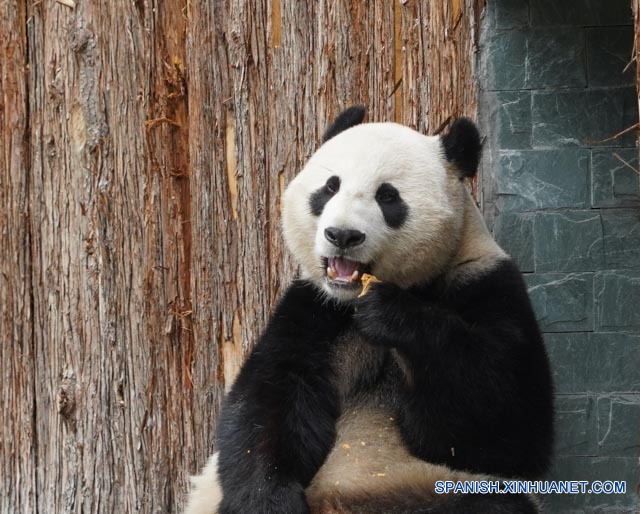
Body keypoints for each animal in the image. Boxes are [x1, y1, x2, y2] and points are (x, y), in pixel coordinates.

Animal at [185, 106, 554, 514]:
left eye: (388, 197)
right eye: (330, 187)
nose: (342, 235)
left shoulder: (486, 283)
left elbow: (505, 429)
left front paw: (390, 315)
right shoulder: (313, 308)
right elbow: (269, 399)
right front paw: (268, 501)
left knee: (492, 501)